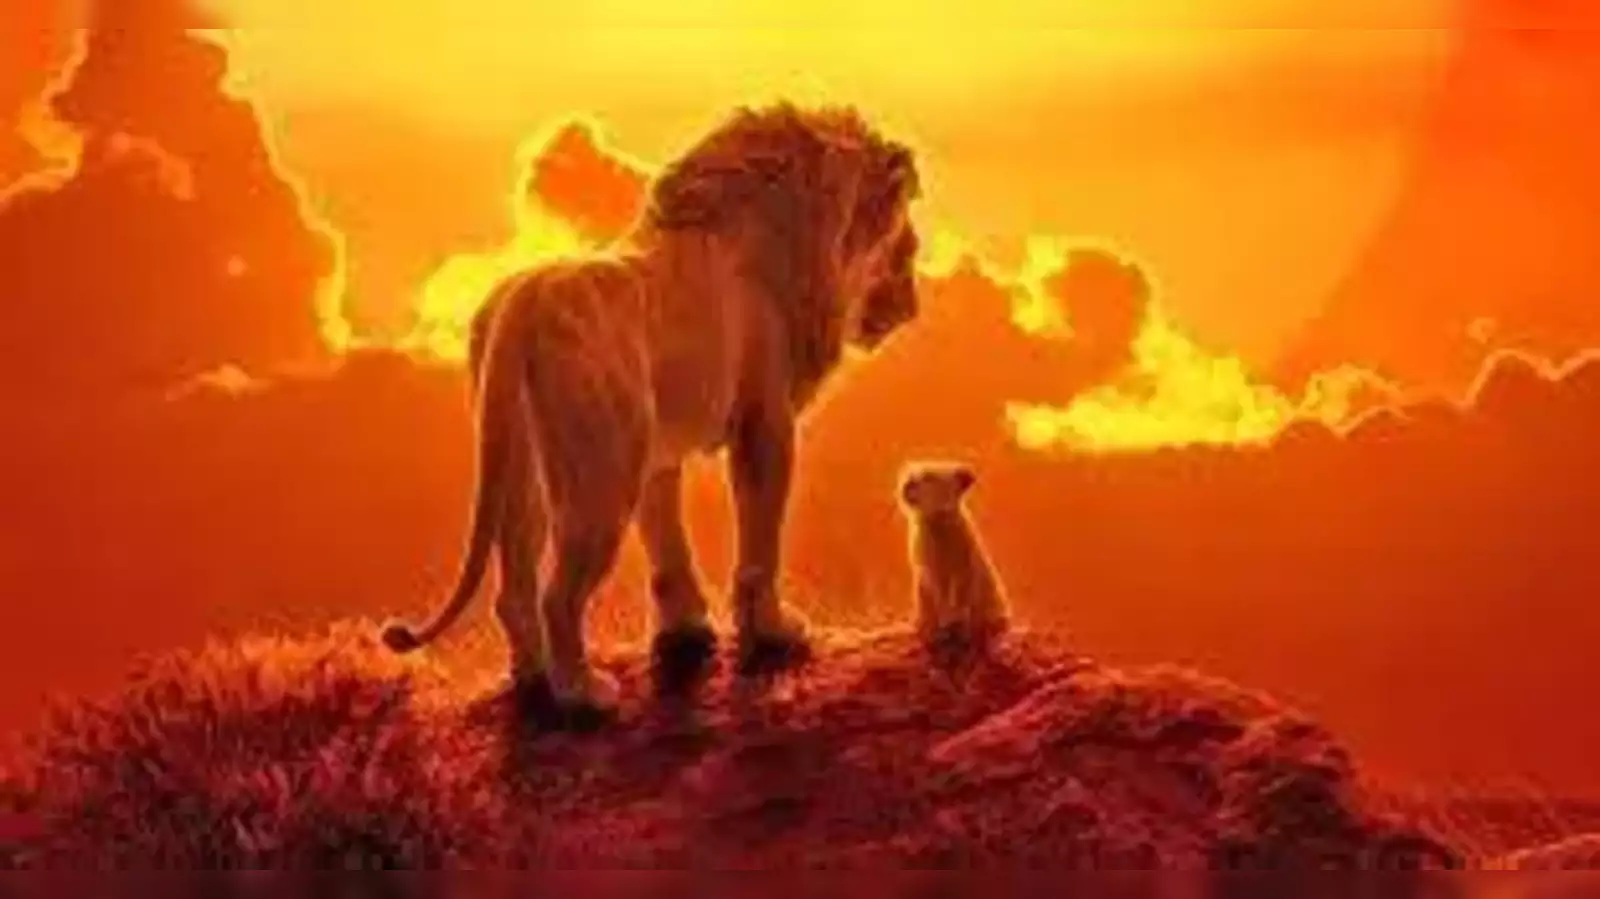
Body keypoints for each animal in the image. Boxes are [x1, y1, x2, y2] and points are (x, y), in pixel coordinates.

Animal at [381, 104, 923, 720]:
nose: (912, 304)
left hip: (521, 465)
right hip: (600, 475)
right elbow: (760, 540)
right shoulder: (764, 421)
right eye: (905, 243)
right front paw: (774, 633)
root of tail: (523, 303)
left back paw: (533, 682)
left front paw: (686, 631)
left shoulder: (657, 450)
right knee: (557, 595)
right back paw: (583, 694)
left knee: (513, 587)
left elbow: (666, 539)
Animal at [898, 461, 1009, 655]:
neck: (936, 520)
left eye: (929, 477)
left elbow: (958, 593)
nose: (906, 485)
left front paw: (953, 620)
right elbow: (937, 592)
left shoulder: (961, 568)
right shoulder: (929, 570)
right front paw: (944, 624)